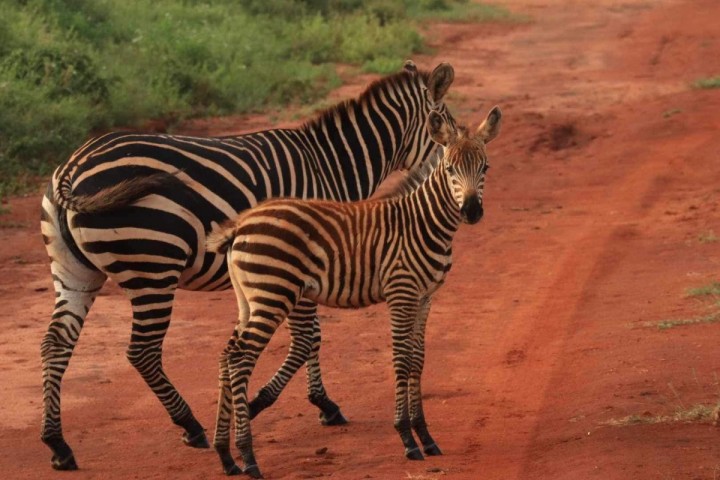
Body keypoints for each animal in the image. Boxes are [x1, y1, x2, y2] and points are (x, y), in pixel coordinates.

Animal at [39, 62, 456, 470]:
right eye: (447, 127)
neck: (330, 166)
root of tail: (72, 169)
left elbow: (310, 338)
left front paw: (315, 404)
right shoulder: (305, 258)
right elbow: (308, 338)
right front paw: (282, 404)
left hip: (75, 273)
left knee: (55, 344)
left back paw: (58, 444)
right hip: (152, 265)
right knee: (141, 352)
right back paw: (191, 426)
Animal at [205, 105, 504, 476]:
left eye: (485, 167)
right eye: (449, 169)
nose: (472, 211)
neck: (422, 222)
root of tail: (240, 225)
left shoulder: (425, 298)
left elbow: (418, 360)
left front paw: (426, 436)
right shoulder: (401, 293)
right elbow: (402, 360)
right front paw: (407, 438)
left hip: (249, 300)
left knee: (226, 355)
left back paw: (225, 454)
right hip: (273, 295)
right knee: (240, 359)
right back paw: (248, 457)